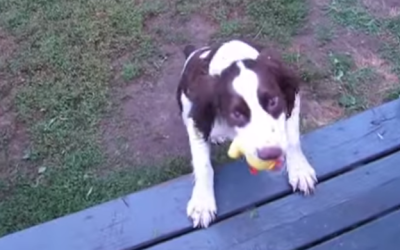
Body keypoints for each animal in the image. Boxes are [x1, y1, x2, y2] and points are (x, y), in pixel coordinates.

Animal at [177, 39, 318, 229]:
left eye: (273, 101)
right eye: (236, 114)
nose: (270, 155)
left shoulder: (292, 100)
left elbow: (292, 141)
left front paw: (300, 170)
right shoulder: (197, 121)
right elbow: (203, 165)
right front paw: (202, 202)